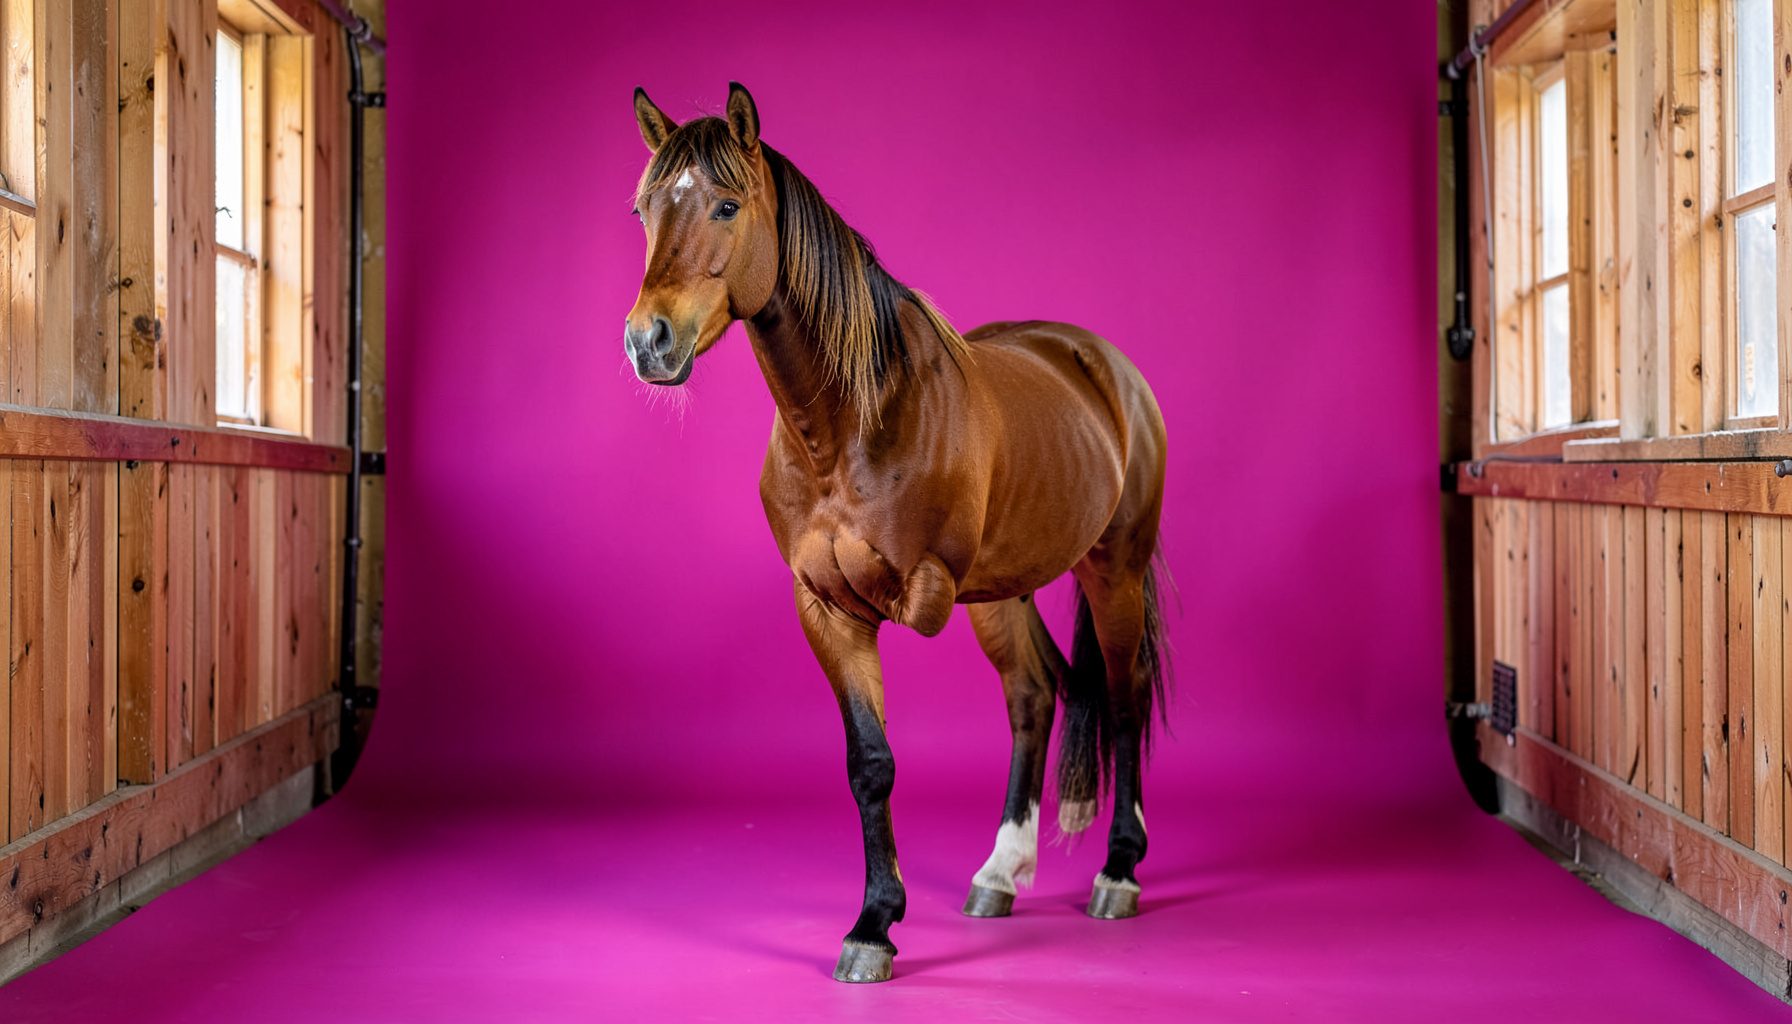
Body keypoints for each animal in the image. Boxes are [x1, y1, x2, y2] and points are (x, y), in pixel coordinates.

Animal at [623, 82, 1169, 984]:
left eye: (727, 204)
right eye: (642, 210)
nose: (648, 342)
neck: (845, 425)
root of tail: (1103, 364)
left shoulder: (928, 587)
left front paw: (883, 915)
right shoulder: (826, 609)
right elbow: (869, 763)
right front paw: (875, 923)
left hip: (1111, 570)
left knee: (1123, 699)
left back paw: (1119, 871)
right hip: (1007, 590)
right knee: (1034, 693)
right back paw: (1000, 872)